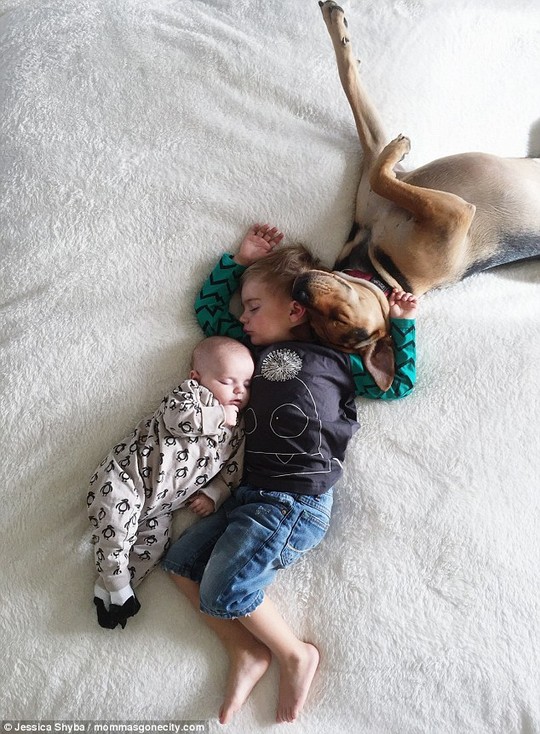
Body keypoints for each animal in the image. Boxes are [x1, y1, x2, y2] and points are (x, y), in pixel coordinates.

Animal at [294, 1, 540, 392]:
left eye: (343, 319)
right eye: (315, 320)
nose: (297, 290)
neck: (381, 271)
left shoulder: (447, 209)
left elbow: (351, 85)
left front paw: (337, 23)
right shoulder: (430, 200)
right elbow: (352, 88)